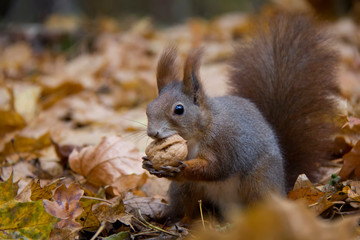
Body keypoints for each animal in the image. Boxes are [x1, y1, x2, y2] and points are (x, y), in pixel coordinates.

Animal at [142, 13, 338, 223]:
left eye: (179, 109)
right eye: (148, 108)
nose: (152, 132)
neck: (202, 129)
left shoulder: (225, 144)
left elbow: (216, 168)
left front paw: (182, 168)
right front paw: (149, 164)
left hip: (258, 182)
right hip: (185, 189)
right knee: (187, 208)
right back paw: (175, 220)